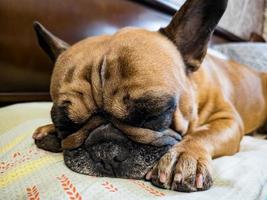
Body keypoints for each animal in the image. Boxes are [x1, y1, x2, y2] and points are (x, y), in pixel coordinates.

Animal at [31, 0, 267, 193]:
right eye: (65, 124)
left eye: (153, 115)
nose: (106, 151)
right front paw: (49, 131)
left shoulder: (228, 119)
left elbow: (203, 133)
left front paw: (183, 156)